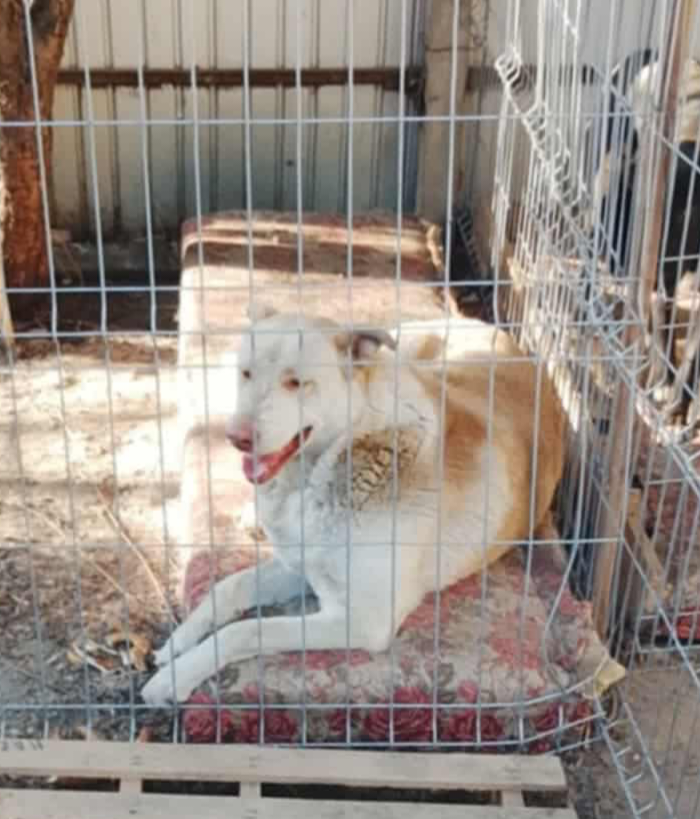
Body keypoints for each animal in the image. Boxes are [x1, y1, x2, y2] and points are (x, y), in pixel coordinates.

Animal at [141, 308, 565, 705]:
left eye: (295, 383)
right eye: (245, 374)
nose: (235, 437)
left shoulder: (361, 619)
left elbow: (247, 629)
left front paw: (176, 676)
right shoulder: (301, 563)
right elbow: (229, 586)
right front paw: (178, 641)